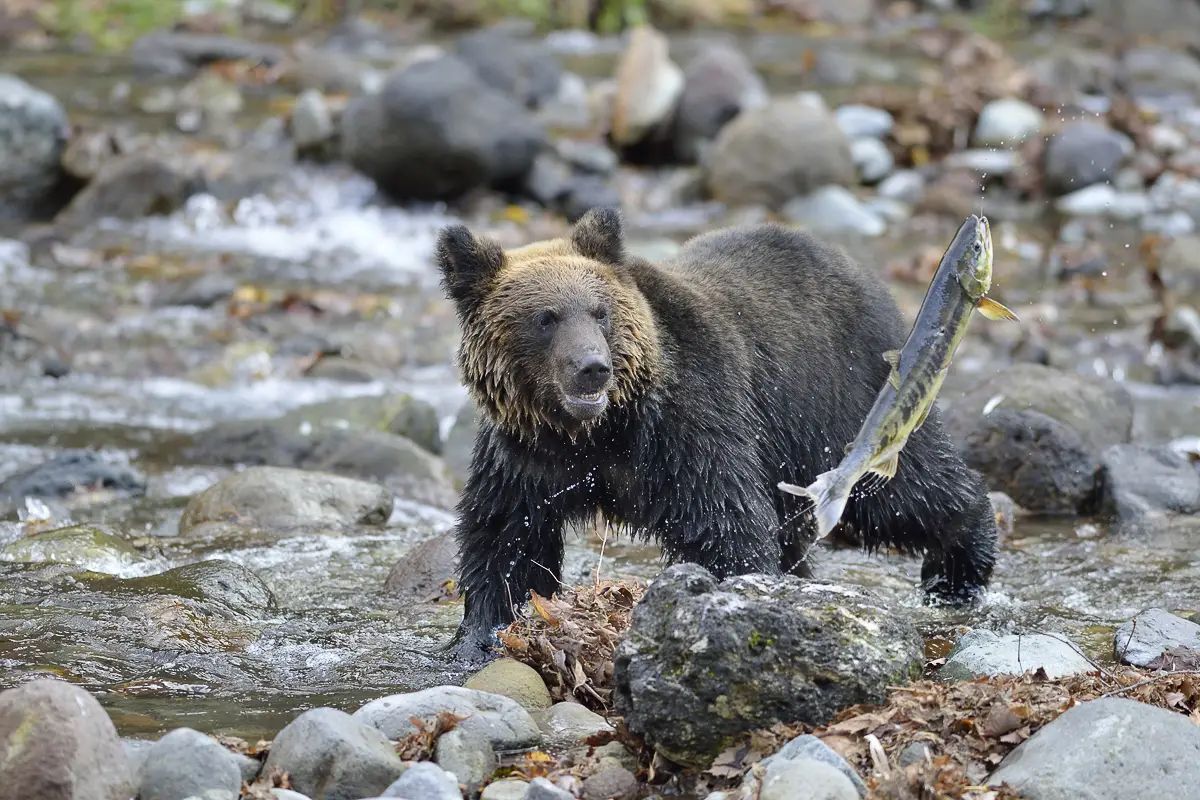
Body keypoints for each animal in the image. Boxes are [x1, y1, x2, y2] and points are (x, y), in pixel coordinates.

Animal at [436, 208, 997, 660]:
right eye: (545, 318)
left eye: (600, 311)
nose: (592, 368)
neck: (598, 433)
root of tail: (857, 270)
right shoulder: (524, 455)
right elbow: (506, 538)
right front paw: (480, 636)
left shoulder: (689, 424)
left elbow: (725, 523)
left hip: (840, 399)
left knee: (901, 494)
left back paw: (959, 569)